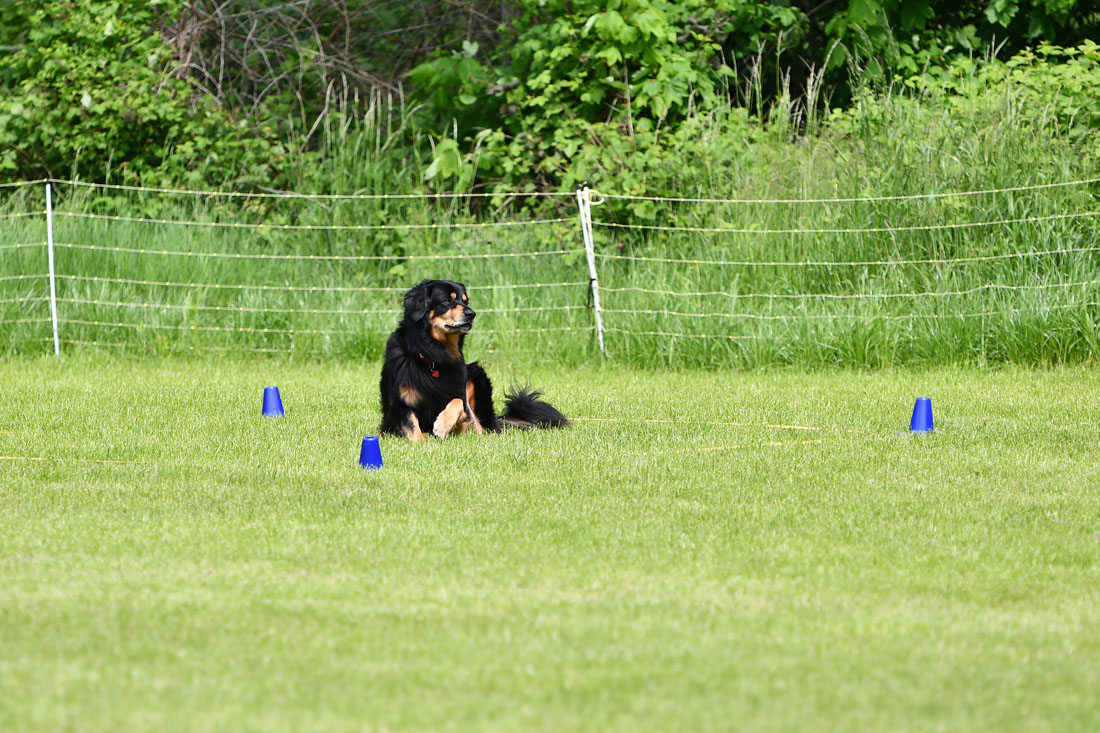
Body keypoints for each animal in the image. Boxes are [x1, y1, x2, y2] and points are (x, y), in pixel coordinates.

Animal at [378, 277, 567, 440]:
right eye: (446, 300)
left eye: (465, 301)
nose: (472, 313)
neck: (433, 357)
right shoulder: (398, 406)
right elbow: (413, 428)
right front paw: (424, 439)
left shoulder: (459, 392)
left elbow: (457, 402)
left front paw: (442, 424)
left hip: (476, 375)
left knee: (481, 426)